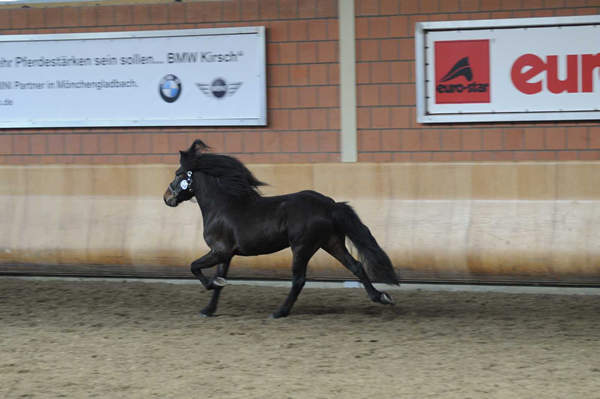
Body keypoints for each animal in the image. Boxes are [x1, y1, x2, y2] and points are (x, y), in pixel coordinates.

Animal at [164, 141, 398, 318]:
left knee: (299, 279)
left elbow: (194, 266)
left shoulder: (219, 251)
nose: (166, 198)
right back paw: (381, 297)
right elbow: (218, 279)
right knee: (356, 266)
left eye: (178, 173)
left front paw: (211, 285)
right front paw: (208, 309)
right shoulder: (226, 254)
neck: (222, 206)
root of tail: (329, 205)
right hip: (331, 242)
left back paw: (280, 312)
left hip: (302, 247)